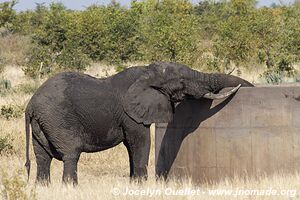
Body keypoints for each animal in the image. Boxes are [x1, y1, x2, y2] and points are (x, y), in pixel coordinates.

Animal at [24, 61, 253, 184]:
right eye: (181, 82)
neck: (146, 74)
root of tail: (30, 105)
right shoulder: (130, 114)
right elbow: (141, 141)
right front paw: (142, 185)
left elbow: (131, 146)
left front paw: (134, 183)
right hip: (57, 119)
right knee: (71, 154)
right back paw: (71, 188)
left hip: (43, 124)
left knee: (42, 157)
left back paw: (44, 188)